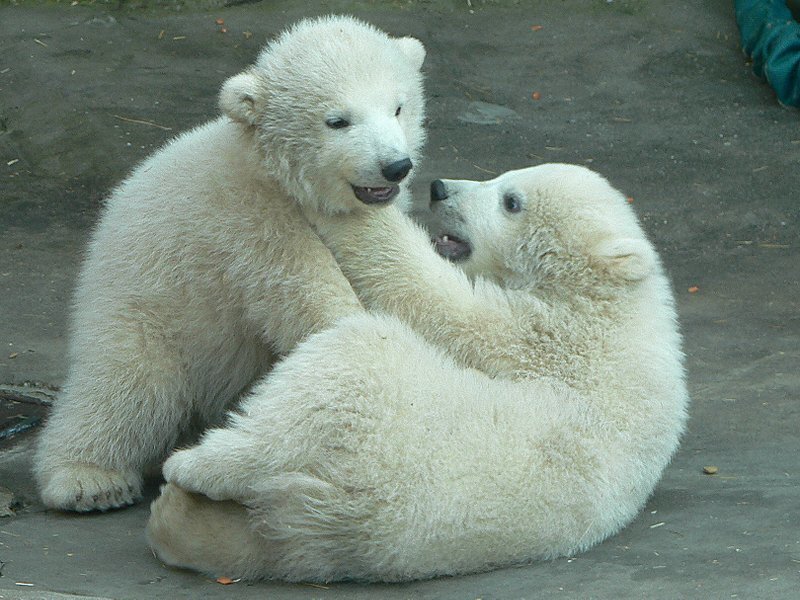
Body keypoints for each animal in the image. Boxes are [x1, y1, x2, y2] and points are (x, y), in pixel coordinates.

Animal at [33, 15, 427, 512]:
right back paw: (87, 479)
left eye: (398, 107)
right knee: (129, 389)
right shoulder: (248, 222)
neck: (267, 168)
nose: (395, 166)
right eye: (337, 121)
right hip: (143, 315)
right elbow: (311, 305)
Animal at [145, 163, 689, 582]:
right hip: (335, 536)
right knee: (284, 544)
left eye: (511, 201)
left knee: (334, 372)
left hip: (383, 419)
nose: (440, 188)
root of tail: (358, 504)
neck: (614, 301)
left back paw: (194, 465)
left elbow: (428, 297)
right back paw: (177, 521)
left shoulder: (545, 337)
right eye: (506, 178)